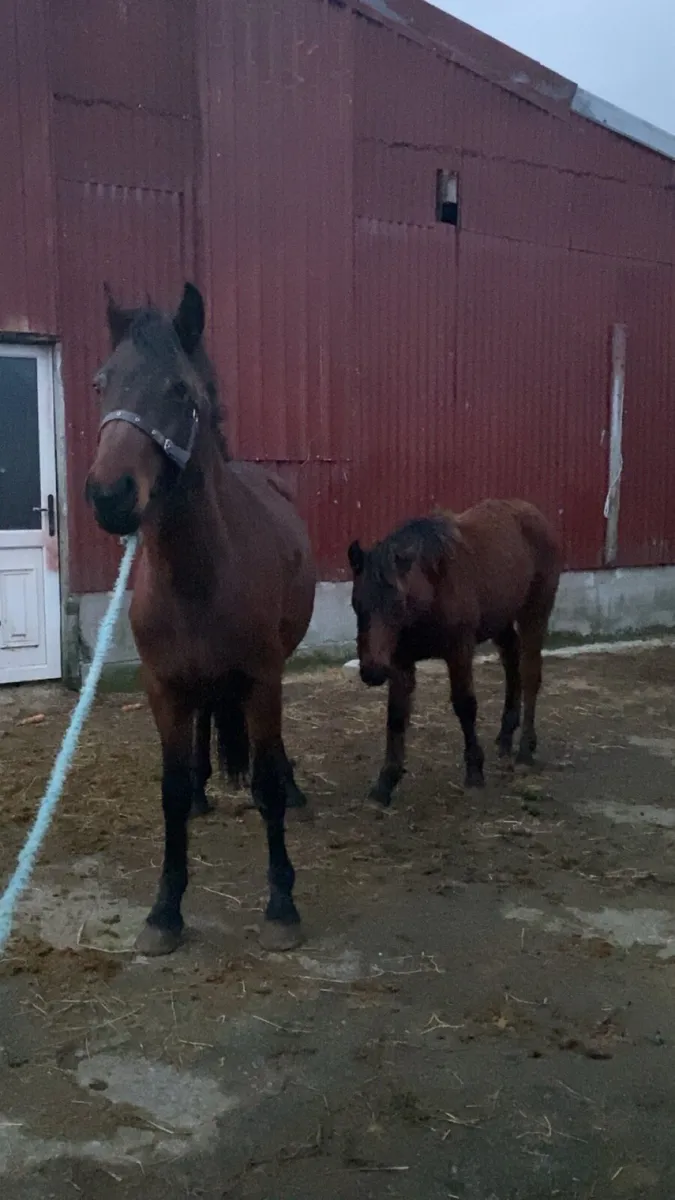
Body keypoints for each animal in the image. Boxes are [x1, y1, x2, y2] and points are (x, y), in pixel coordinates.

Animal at [85, 282, 317, 956]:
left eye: (180, 391)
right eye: (101, 383)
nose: (108, 495)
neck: (199, 575)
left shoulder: (263, 680)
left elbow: (266, 785)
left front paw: (281, 905)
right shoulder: (163, 688)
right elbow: (168, 790)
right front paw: (165, 911)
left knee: (270, 760)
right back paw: (202, 793)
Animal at [347, 500, 561, 802]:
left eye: (398, 604)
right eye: (356, 602)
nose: (373, 672)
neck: (431, 591)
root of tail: (536, 514)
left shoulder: (459, 651)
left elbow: (465, 704)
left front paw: (474, 770)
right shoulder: (400, 662)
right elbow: (396, 715)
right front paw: (386, 781)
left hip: (535, 611)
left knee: (530, 672)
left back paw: (525, 749)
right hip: (501, 619)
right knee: (511, 661)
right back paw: (506, 736)